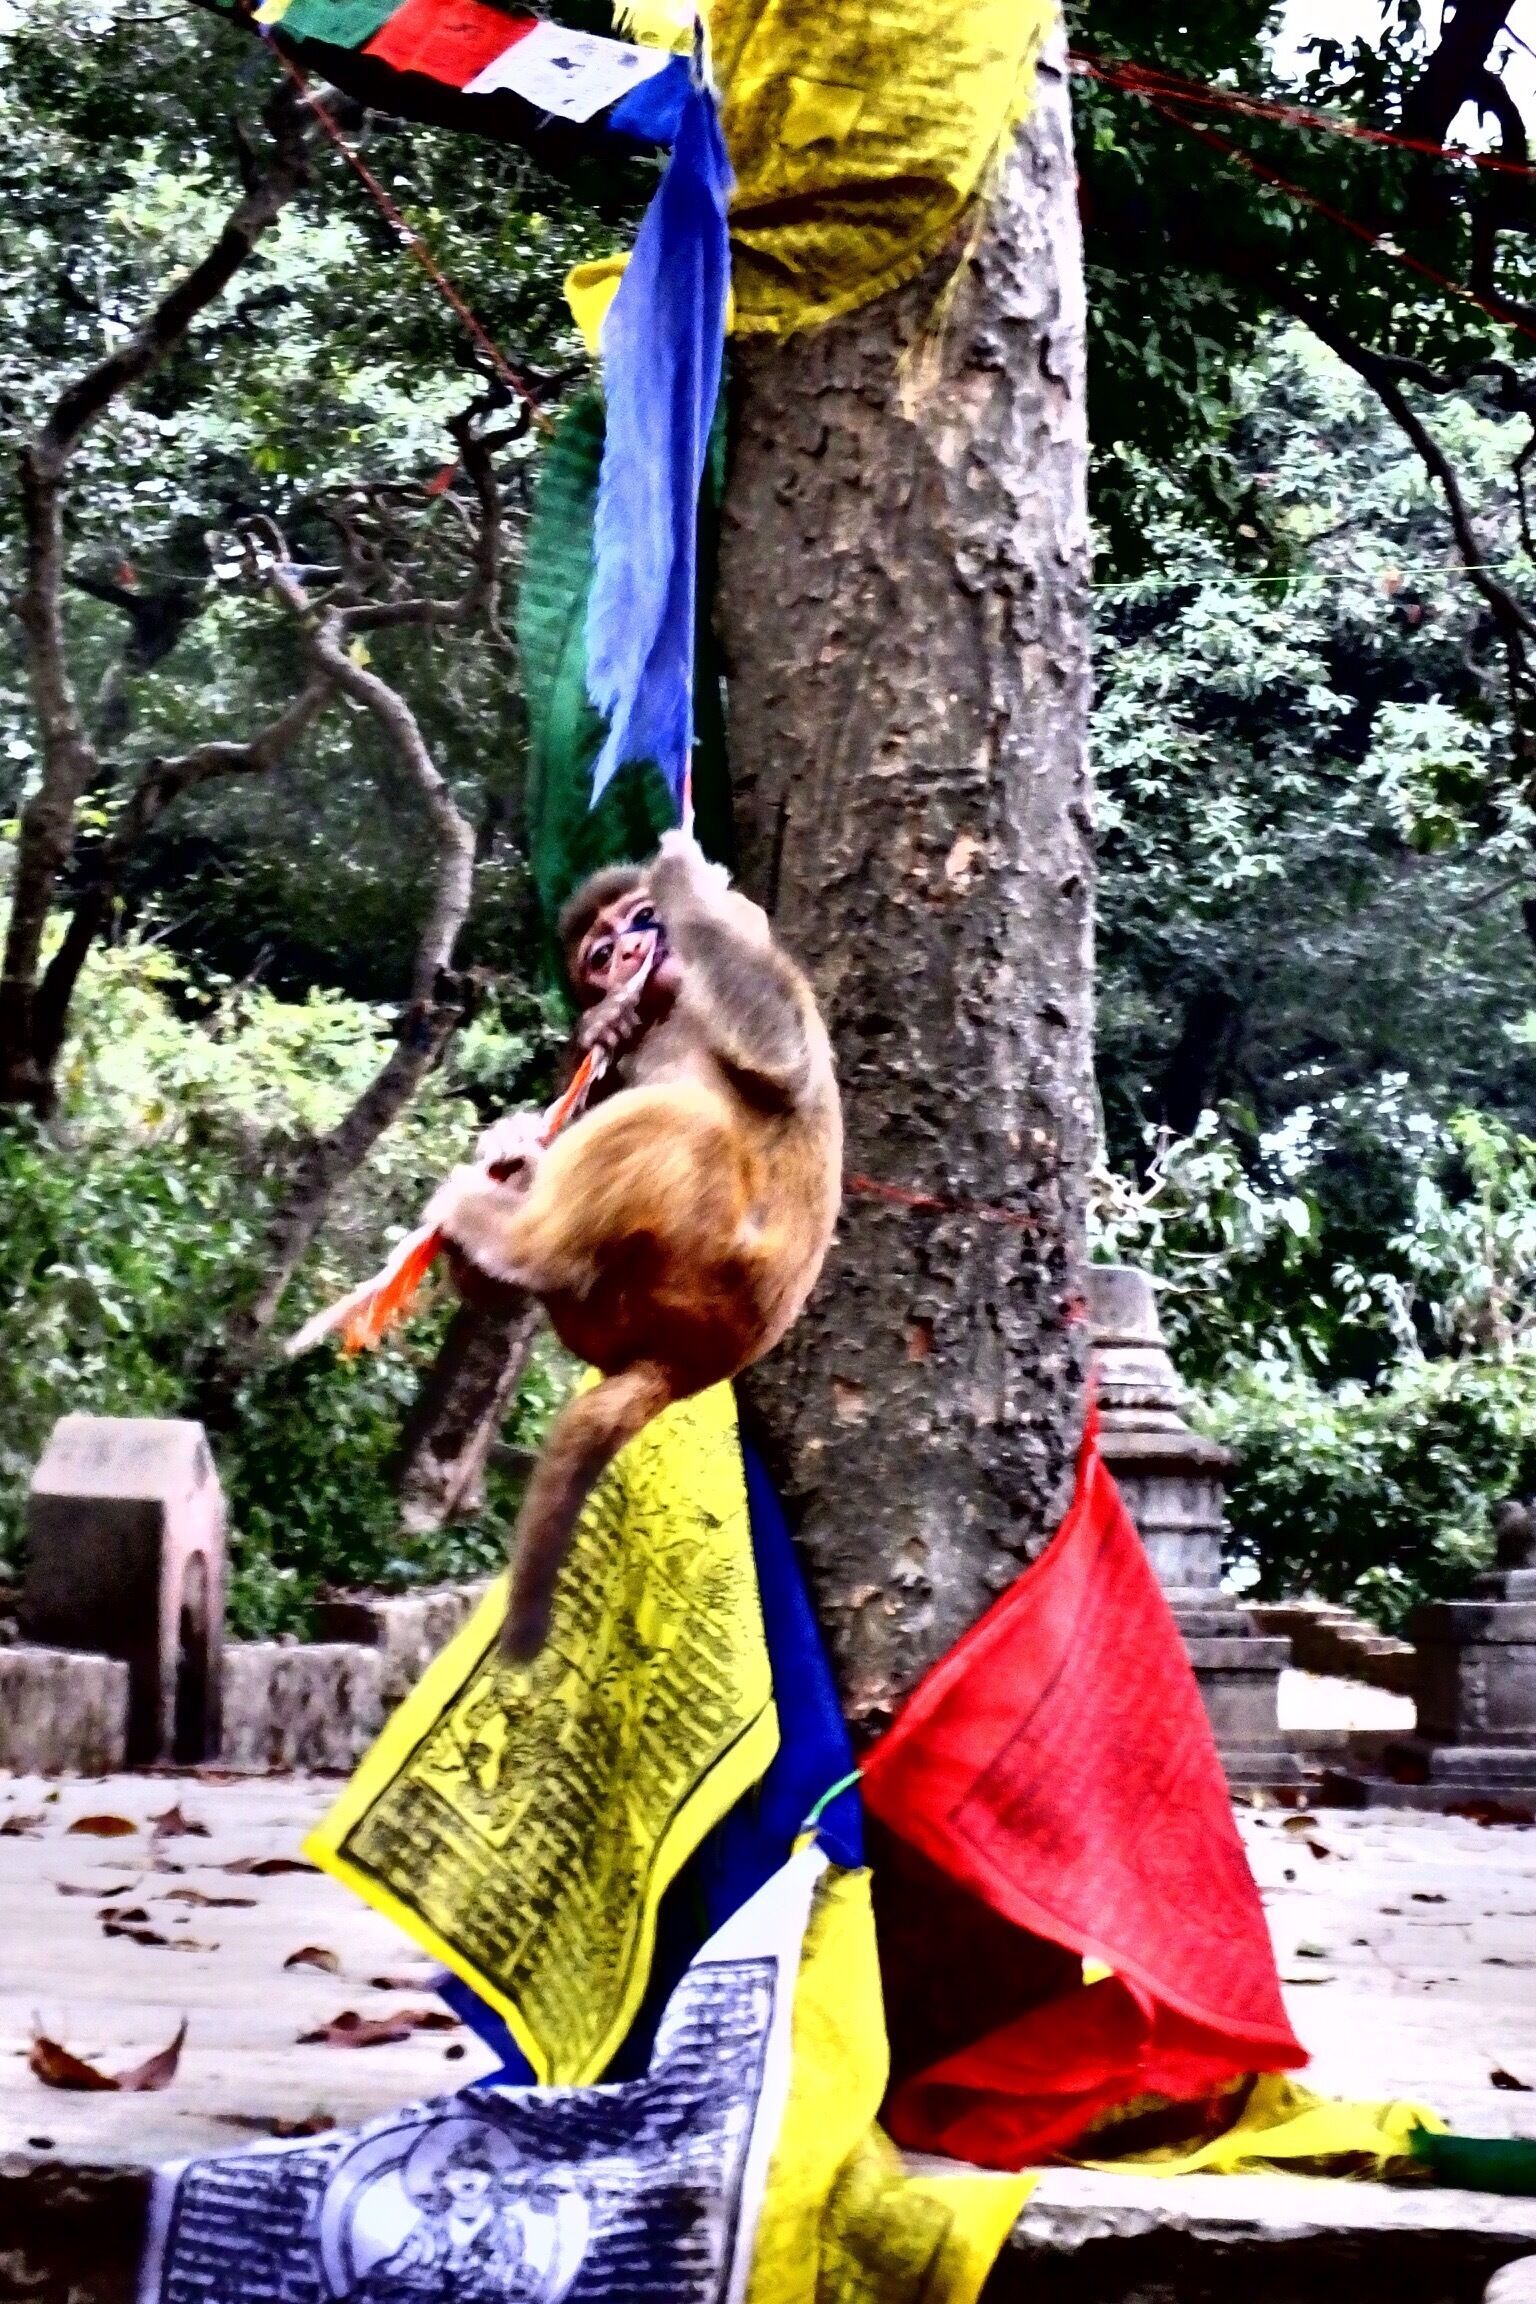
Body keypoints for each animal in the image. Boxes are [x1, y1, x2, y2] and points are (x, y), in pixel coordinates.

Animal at [427, 827, 842, 1663]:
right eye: (599, 952)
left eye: (642, 919)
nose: (630, 953)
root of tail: (691, 1365)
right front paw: (596, 1034)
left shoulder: (744, 927)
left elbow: (785, 1054)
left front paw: (684, 881)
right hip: (620, 1304)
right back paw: (499, 1215)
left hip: (712, 1273)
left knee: (692, 1122)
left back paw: (512, 1238)